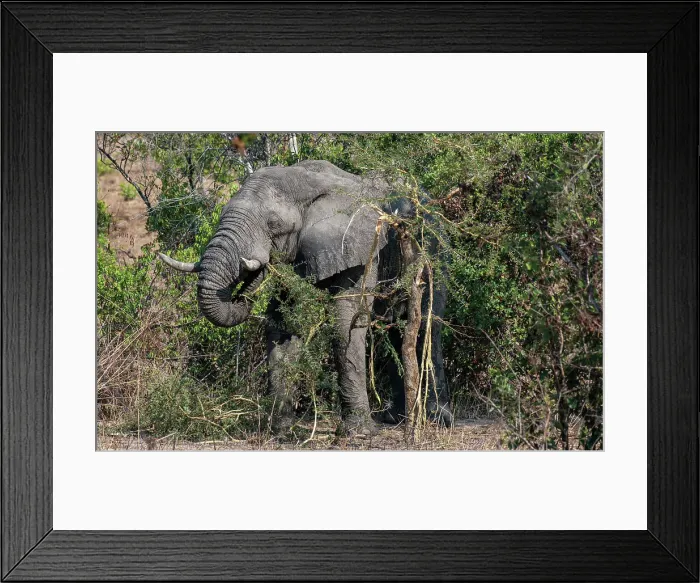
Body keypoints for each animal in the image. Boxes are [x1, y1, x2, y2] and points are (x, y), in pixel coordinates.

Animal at [159, 160, 453, 435]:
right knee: (394, 330)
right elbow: (283, 323)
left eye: (273, 224)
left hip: (434, 252)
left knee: (426, 325)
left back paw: (436, 419)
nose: (252, 272)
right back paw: (395, 418)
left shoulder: (361, 247)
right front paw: (279, 428)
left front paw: (358, 433)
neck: (307, 182)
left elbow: (346, 321)